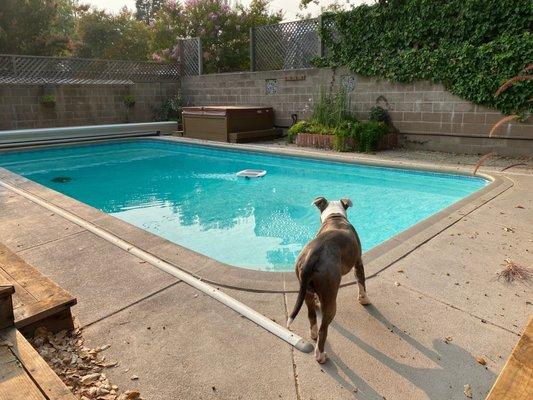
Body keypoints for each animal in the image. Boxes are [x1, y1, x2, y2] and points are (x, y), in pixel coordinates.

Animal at [286, 196, 370, 362]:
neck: (335, 216)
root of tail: (313, 254)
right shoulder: (358, 263)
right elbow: (361, 283)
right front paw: (364, 300)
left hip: (307, 290)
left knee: (312, 316)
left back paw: (313, 333)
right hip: (331, 300)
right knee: (323, 330)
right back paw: (320, 355)